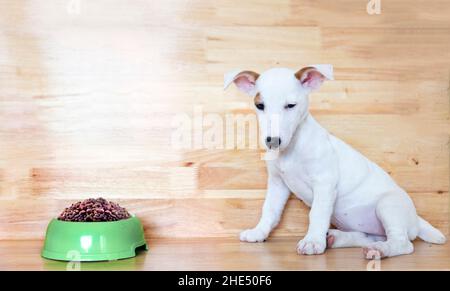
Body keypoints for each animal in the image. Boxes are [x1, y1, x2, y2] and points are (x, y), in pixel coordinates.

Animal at [225, 66, 446, 260]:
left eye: (291, 105)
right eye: (260, 105)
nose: (273, 141)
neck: (294, 148)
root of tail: (415, 219)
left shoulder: (325, 183)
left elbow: (316, 213)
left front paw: (312, 242)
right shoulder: (277, 184)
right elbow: (269, 210)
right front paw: (259, 232)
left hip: (388, 205)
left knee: (403, 243)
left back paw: (379, 250)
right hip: (370, 226)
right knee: (368, 236)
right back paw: (336, 238)